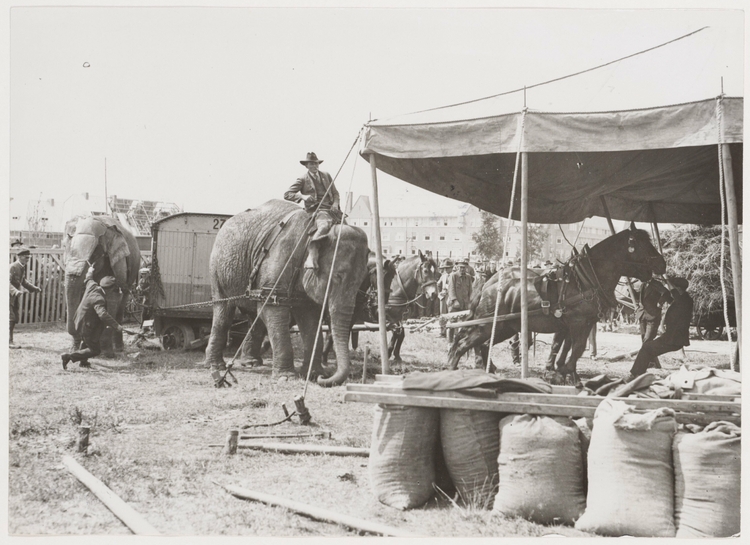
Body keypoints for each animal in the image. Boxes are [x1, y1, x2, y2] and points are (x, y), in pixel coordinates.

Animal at [63, 215, 142, 354]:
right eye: (68, 249)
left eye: (94, 254)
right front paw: (76, 349)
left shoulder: (119, 262)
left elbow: (114, 296)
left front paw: (105, 352)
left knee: (122, 303)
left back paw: (118, 348)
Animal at [204, 200, 372, 386]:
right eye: (338, 276)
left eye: (362, 280)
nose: (326, 377)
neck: (319, 229)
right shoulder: (279, 259)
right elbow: (273, 309)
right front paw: (286, 377)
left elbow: (310, 319)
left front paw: (314, 374)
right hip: (217, 269)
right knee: (224, 312)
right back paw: (216, 366)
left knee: (255, 315)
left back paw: (251, 363)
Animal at [450, 223, 668, 384]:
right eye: (641, 244)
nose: (662, 263)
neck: (586, 279)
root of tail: (488, 287)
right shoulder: (578, 322)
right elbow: (577, 347)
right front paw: (569, 373)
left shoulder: (579, 323)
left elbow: (566, 346)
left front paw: (562, 371)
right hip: (487, 326)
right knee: (462, 345)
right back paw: (452, 369)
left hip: (503, 327)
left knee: (482, 345)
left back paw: (487, 370)